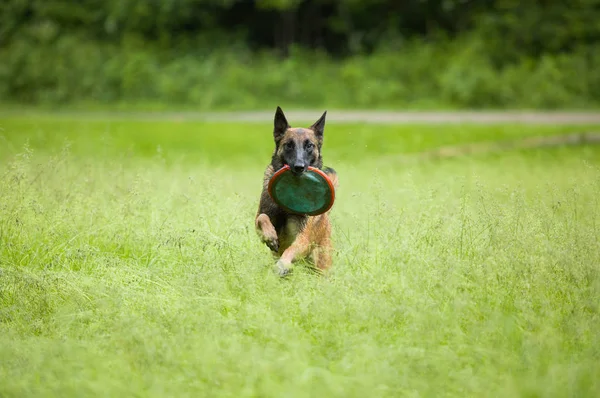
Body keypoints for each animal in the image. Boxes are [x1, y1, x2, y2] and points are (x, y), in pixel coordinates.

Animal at [253, 106, 338, 276]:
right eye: (289, 145)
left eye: (309, 146)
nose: (299, 167)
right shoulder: (258, 222)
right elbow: (263, 218)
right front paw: (270, 236)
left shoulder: (304, 238)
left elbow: (291, 250)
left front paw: (283, 264)